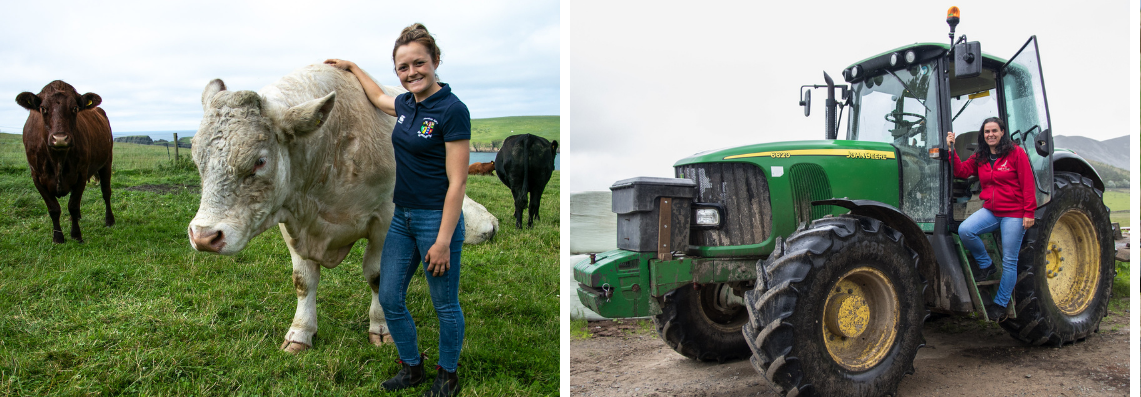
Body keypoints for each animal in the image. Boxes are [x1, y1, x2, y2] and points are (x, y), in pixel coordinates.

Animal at [15, 79, 115, 241]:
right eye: (43, 108)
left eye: (74, 108)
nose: (60, 138)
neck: (58, 158)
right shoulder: (36, 177)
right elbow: (54, 208)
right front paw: (58, 237)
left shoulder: (81, 173)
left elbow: (72, 205)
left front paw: (76, 235)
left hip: (106, 162)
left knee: (106, 192)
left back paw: (110, 220)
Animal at [187, 63, 495, 351]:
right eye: (196, 157)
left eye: (259, 162)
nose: (203, 236)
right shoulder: (291, 222)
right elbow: (303, 280)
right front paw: (300, 333)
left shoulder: (385, 220)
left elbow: (378, 276)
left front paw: (381, 328)